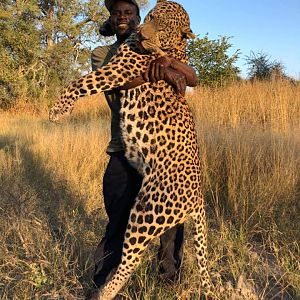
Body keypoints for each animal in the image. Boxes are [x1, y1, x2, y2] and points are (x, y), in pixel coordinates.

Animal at [48, 1, 213, 298]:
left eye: (163, 27)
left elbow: (81, 82)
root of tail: (198, 198)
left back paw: (105, 292)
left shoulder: (121, 69)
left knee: (130, 258)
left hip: (146, 211)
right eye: (150, 17)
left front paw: (58, 110)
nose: (142, 32)